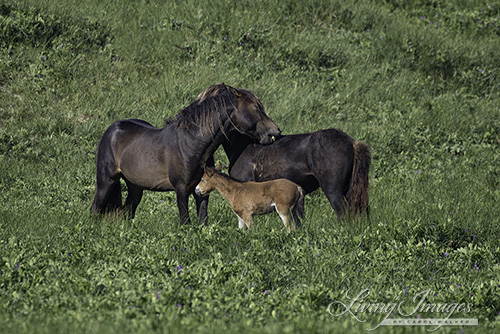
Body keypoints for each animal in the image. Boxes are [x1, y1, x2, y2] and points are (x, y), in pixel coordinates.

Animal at [90, 83, 282, 224]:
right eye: (256, 107)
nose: (276, 131)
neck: (192, 144)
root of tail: (112, 129)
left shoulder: (202, 190)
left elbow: (203, 221)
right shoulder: (181, 189)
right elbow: (185, 222)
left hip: (135, 187)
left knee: (127, 212)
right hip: (106, 181)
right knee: (94, 209)